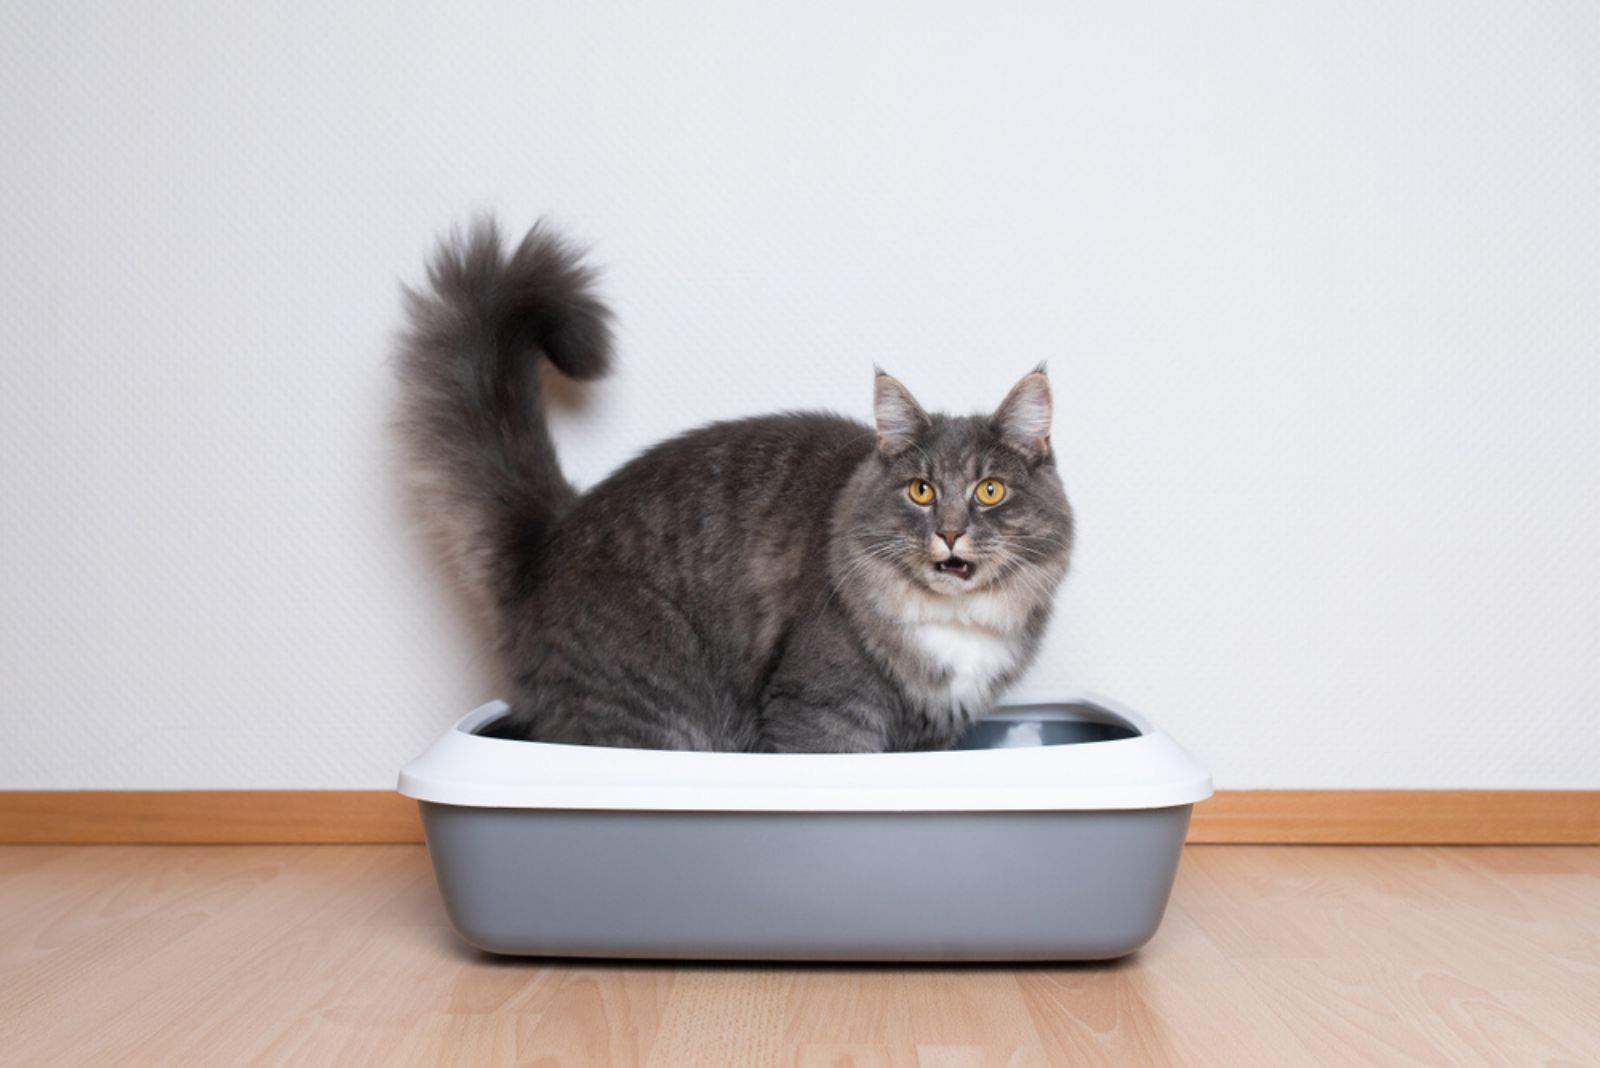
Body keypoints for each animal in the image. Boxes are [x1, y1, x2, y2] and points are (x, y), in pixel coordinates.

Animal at [398, 217, 1075, 751]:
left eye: (990, 491)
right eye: (922, 491)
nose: (952, 533)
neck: (953, 625)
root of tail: (547, 538)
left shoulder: (933, 735)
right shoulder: (821, 710)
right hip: (645, 706)